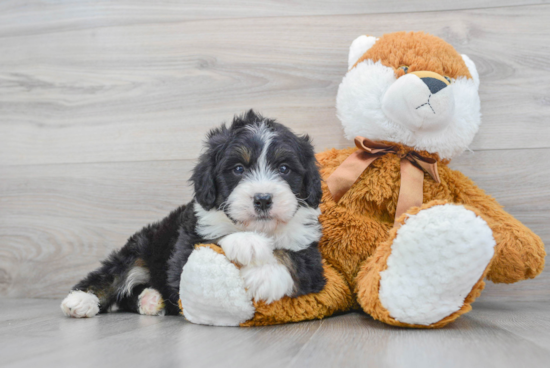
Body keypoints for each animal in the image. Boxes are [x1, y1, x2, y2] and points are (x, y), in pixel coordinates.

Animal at [61, 110, 328, 318]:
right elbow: (214, 239)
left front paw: (266, 274)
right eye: (238, 169)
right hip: (141, 245)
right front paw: (248, 243)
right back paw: (80, 300)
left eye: (284, 168)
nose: (262, 199)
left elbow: (295, 258)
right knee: (114, 274)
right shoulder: (184, 252)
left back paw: (150, 299)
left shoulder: (311, 254)